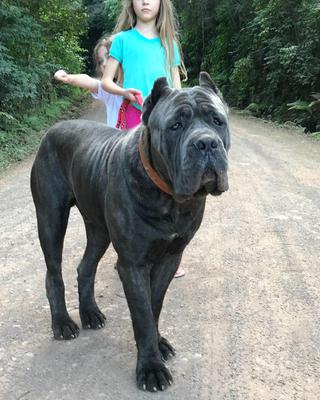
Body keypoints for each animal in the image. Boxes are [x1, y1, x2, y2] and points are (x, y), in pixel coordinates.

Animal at [30, 71, 230, 390]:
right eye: (175, 126)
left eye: (217, 121)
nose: (206, 144)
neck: (169, 198)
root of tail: (52, 130)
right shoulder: (132, 264)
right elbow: (142, 314)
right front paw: (151, 368)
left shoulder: (170, 258)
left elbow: (154, 305)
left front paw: (157, 344)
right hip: (51, 218)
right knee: (53, 274)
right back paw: (62, 323)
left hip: (99, 229)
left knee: (85, 267)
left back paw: (90, 313)